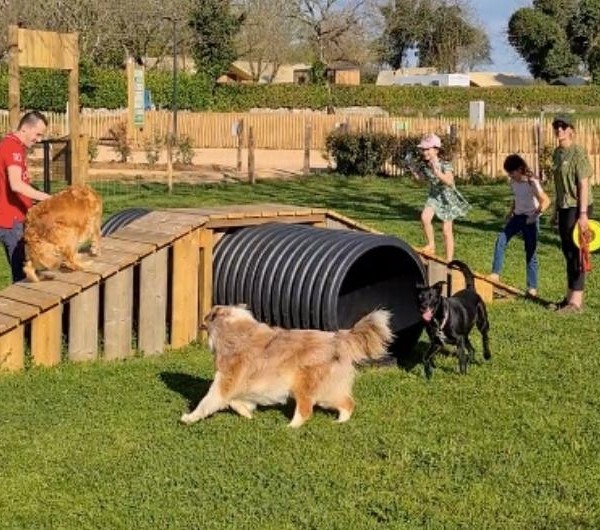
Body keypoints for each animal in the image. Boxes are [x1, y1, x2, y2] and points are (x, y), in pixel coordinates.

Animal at [180, 304, 394, 426]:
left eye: (208, 315)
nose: (200, 320)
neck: (234, 331)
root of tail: (337, 338)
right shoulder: (244, 386)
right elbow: (236, 402)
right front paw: (247, 414)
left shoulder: (225, 381)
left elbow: (207, 402)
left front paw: (189, 418)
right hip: (329, 391)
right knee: (348, 403)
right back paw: (340, 422)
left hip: (306, 387)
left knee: (306, 411)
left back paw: (290, 427)